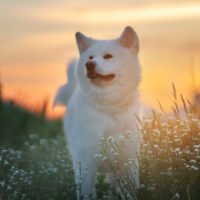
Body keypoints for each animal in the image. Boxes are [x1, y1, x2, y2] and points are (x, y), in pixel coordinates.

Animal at [54, 26, 141, 198]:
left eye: (108, 56)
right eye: (90, 57)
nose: (89, 64)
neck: (108, 107)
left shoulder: (129, 161)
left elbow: (132, 192)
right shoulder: (85, 163)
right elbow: (86, 193)